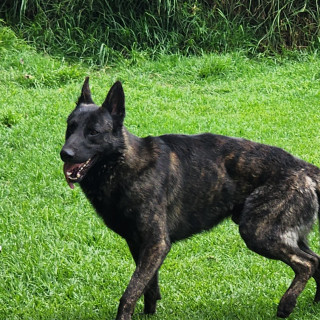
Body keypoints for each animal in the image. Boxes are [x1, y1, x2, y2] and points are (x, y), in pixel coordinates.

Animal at [60, 78, 320, 320]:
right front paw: (149, 314)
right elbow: (149, 287)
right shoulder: (139, 245)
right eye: (70, 128)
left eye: (93, 132)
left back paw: (286, 305)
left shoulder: (156, 243)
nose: (64, 154)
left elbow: (130, 292)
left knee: (306, 264)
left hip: (258, 233)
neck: (125, 164)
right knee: (316, 259)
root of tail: (303, 167)